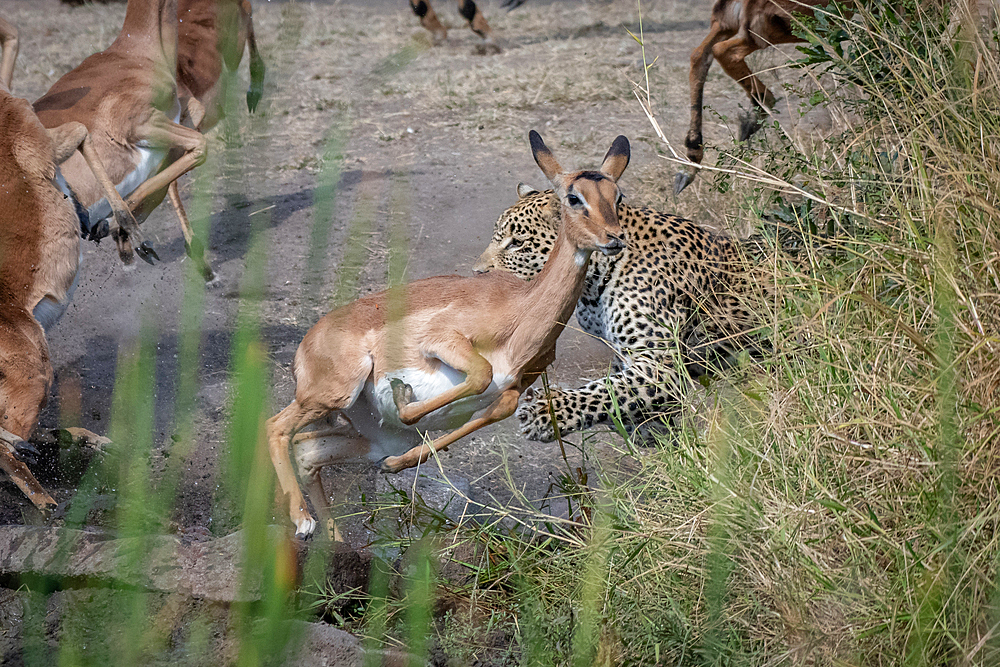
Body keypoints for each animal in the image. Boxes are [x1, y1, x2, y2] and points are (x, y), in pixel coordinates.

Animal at [472, 184, 760, 444]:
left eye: (517, 243)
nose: (476, 272)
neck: (593, 284)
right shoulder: (626, 355)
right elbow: (621, 393)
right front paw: (652, 431)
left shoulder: (660, 366)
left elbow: (606, 391)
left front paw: (546, 414)